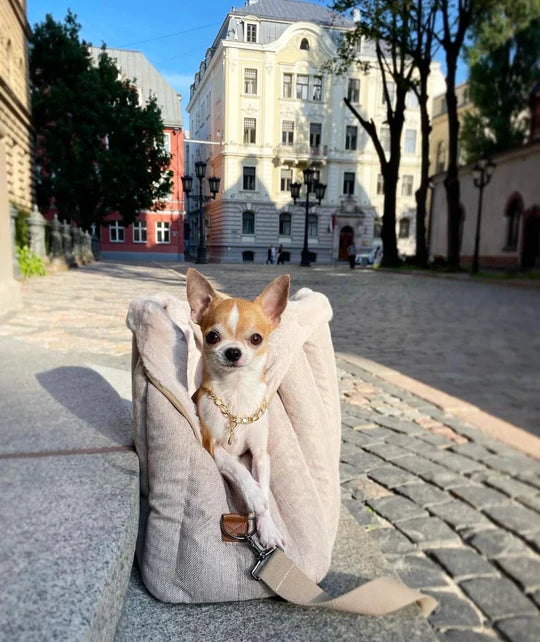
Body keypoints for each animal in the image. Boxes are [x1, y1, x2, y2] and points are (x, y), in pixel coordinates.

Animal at [186, 268, 288, 548]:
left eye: (256, 339)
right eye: (212, 336)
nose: (233, 351)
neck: (236, 391)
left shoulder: (261, 455)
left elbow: (263, 485)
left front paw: (267, 527)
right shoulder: (214, 447)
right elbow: (239, 469)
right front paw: (253, 495)